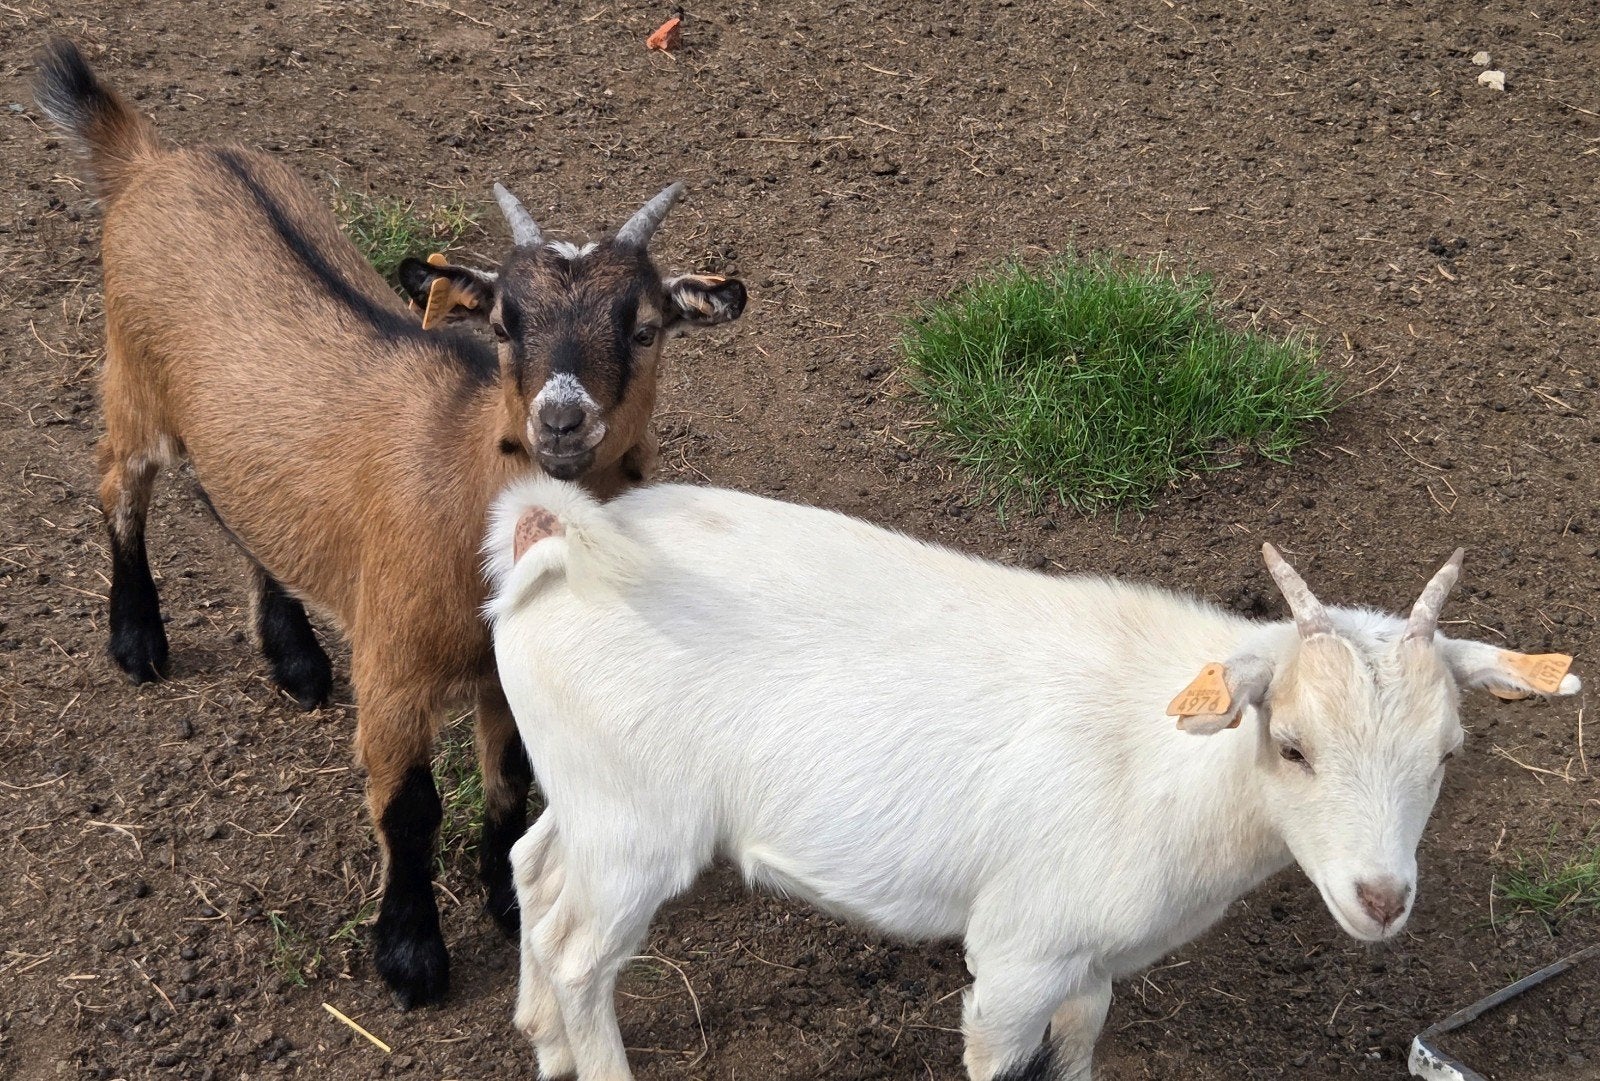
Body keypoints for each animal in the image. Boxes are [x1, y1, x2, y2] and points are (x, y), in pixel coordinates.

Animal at [32, 40, 746, 1008]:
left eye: (643, 327)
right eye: (503, 323)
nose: (561, 419)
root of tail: (154, 161)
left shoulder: (501, 669)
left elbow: (510, 783)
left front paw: (506, 904)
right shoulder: (396, 663)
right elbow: (409, 806)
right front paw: (410, 955)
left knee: (235, 509)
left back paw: (295, 657)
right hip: (133, 380)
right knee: (118, 485)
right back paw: (137, 638)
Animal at [484, 478, 1581, 1081]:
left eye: (1446, 754)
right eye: (1294, 745)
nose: (1380, 897)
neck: (1164, 765)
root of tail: (555, 537)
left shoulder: (1089, 959)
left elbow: (1082, 1042)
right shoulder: (1018, 955)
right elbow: (1000, 1048)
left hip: (589, 795)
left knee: (535, 869)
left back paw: (539, 1037)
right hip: (638, 830)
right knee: (583, 955)